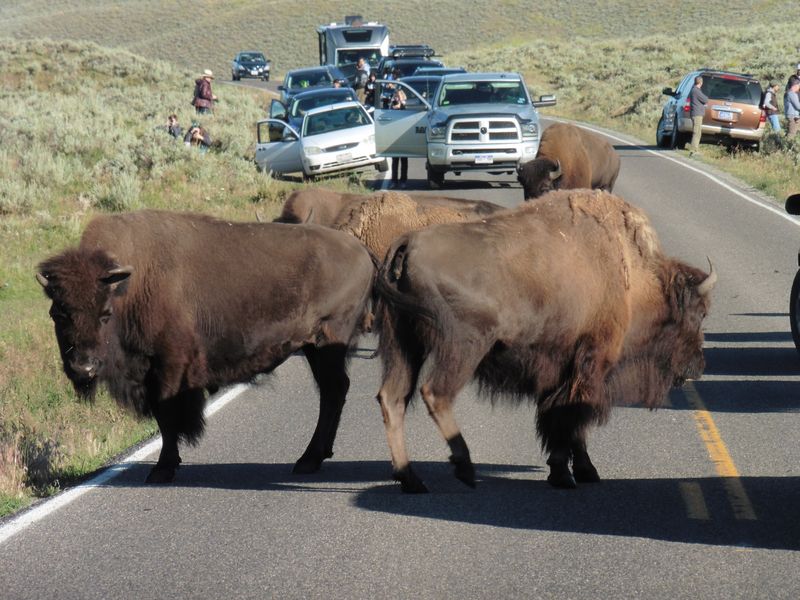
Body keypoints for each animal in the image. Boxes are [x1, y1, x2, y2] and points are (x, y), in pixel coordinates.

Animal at [37, 210, 375, 484]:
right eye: (57, 313)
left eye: (105, 313)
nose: (83, 367)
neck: (130, 286)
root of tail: (361, 251)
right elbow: (164, 418)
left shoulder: (168, 366)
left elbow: (167, 417)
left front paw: (162, 469)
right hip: (316, 348)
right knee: (333, 391)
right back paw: (313, 457)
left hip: (327, 342)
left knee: (333, 390)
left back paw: (308, 460)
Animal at [374, 189, 715, 493]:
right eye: (700, 313)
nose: (697, 366)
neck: (632, 276)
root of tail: (408, 242)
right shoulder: (591, 364)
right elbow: (570, 421)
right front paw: (568, 475)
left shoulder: (561, 371)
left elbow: (563, 420)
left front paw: (578, 471)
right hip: (463, 348)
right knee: (435, 394)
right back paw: (464, 468)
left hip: (404, 345)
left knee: (393, 398)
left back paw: (411, 479)